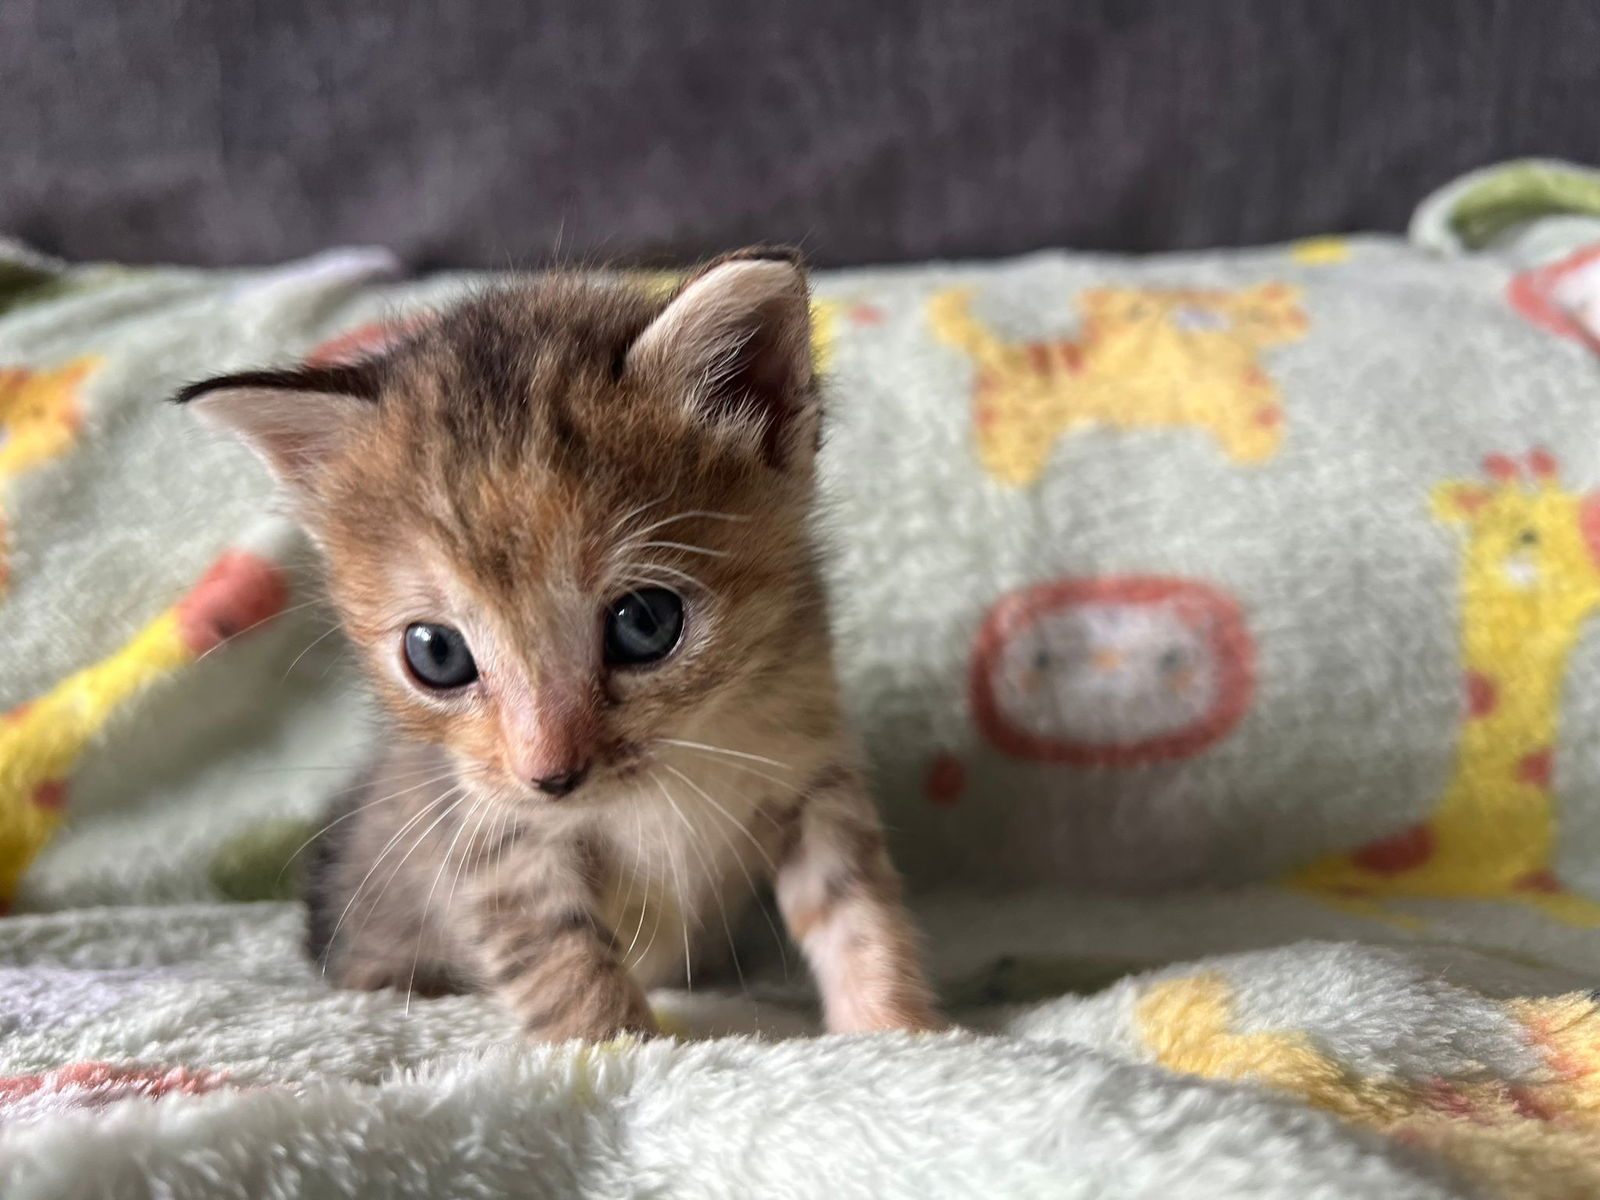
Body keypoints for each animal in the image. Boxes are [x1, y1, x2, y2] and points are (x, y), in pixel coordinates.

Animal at [181, 249, 940, 1036]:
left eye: (644, 623)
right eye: (436, 654)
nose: (550, 778)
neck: (684, 756)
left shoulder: (813, 776)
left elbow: (858, 909)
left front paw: (895, 1029)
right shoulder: (490, 833)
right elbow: (561, 956)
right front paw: (616, 1045)